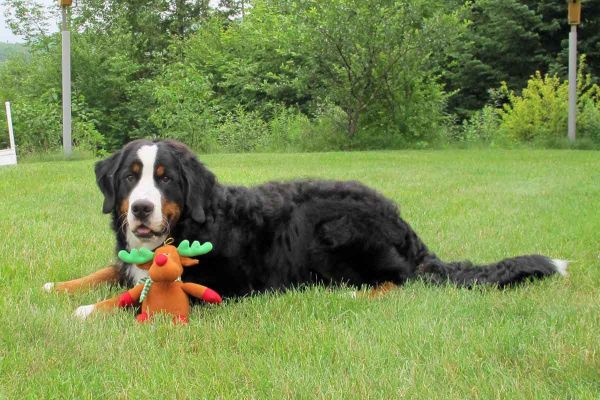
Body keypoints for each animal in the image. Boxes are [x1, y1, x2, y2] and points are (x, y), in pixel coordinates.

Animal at [43, 138, 568, 318]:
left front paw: (87, 310)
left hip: (341, 231)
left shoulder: (206, 286)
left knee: (400, 281)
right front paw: (58, 287)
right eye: (130, 178)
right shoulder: (129, 262)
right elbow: (108, 272)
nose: (141, 210)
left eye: (166, 178)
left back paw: (356, 292)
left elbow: (137, 297)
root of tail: (403, 223)